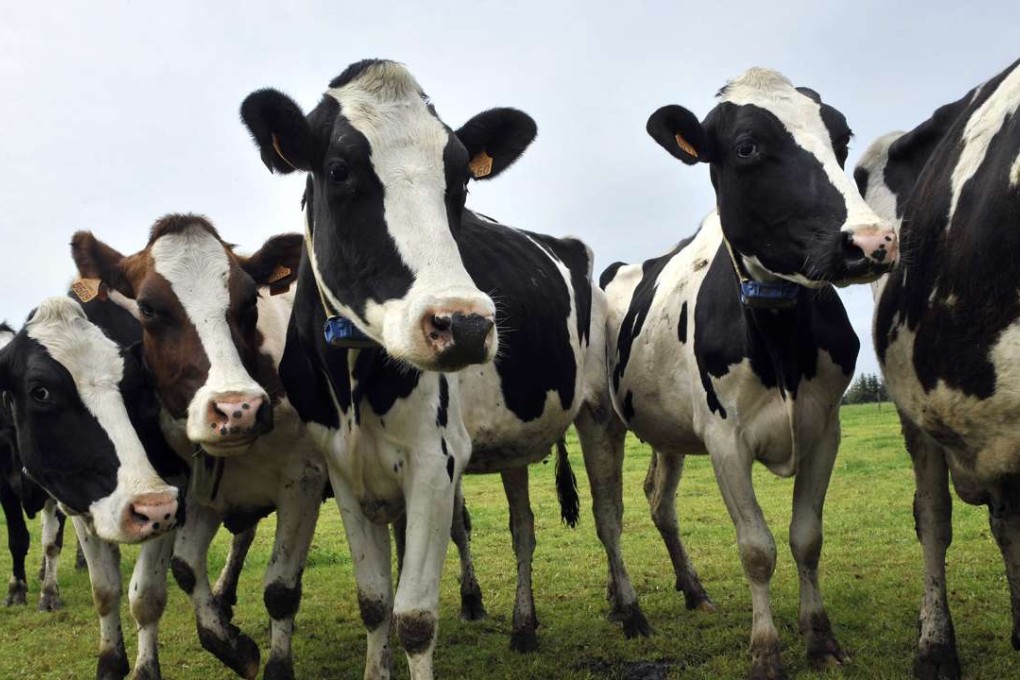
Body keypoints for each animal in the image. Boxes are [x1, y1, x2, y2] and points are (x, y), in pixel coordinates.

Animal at [0, 295, 185, 676]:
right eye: (41, 392)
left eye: (132, 385)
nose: (148, 505)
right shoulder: (75, 501)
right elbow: (104, 590)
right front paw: (110, 663)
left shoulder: (172, 497)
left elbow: (146, 596)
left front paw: (144, 670)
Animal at [240, 61, 636, 676]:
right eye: (338, 170)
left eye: (462, 181)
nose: (465, 325)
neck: (354, 383)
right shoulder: (343, 467)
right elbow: (375, 602)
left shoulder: (434, 460)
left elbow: (415, 618)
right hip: (515, 438)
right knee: (524, 528)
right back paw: (524, 626)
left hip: (598, 411)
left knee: (608, 513)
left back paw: (629, 608)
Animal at [599, 70, 897, 680]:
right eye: (746, 147)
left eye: (842, 138)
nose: (872, 241)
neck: (779, 341)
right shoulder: (724, 440)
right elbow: (757, 548)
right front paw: (765, 650)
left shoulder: (825, 428)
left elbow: (806, 538)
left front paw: (819, 638)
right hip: (600, 420)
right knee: (611, 515)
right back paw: (629, 609)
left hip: (667, 432)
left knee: (659, 502)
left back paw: (688, 591)